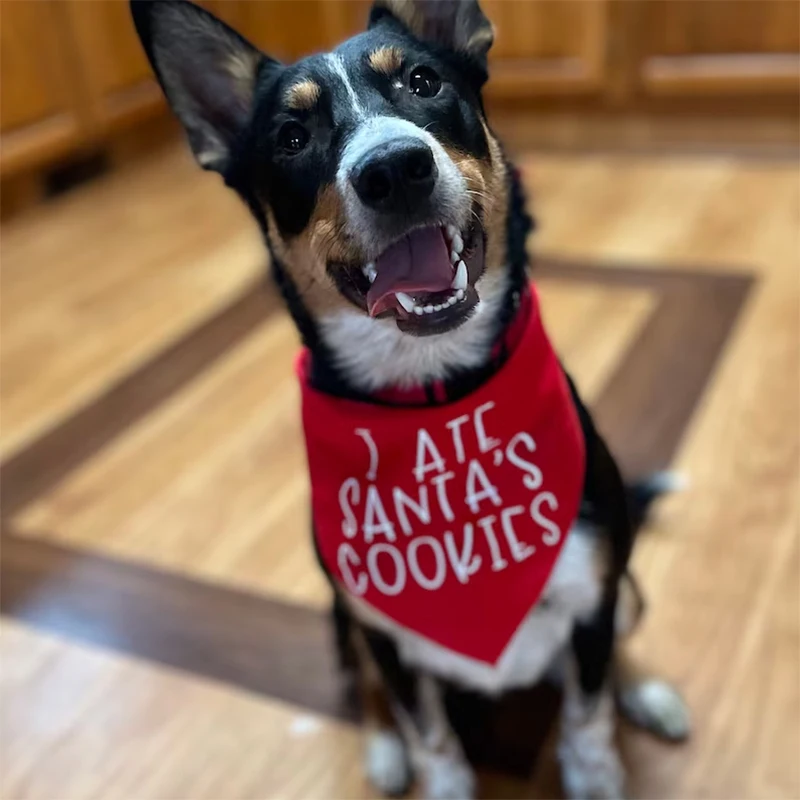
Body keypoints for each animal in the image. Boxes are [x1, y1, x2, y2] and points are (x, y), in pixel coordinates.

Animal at [134, 3, 692, 796]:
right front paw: (435, 772)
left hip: (624, 577)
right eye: (291, 137)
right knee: (371, 692)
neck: (435, 401)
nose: (394, 167)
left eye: (423, 81)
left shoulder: (593, 594)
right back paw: (382, 748)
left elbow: (587, 714)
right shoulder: (383, 630)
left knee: (618, 647)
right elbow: (428, 732)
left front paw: (596, 771)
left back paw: (644, 693)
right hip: (343, 619)